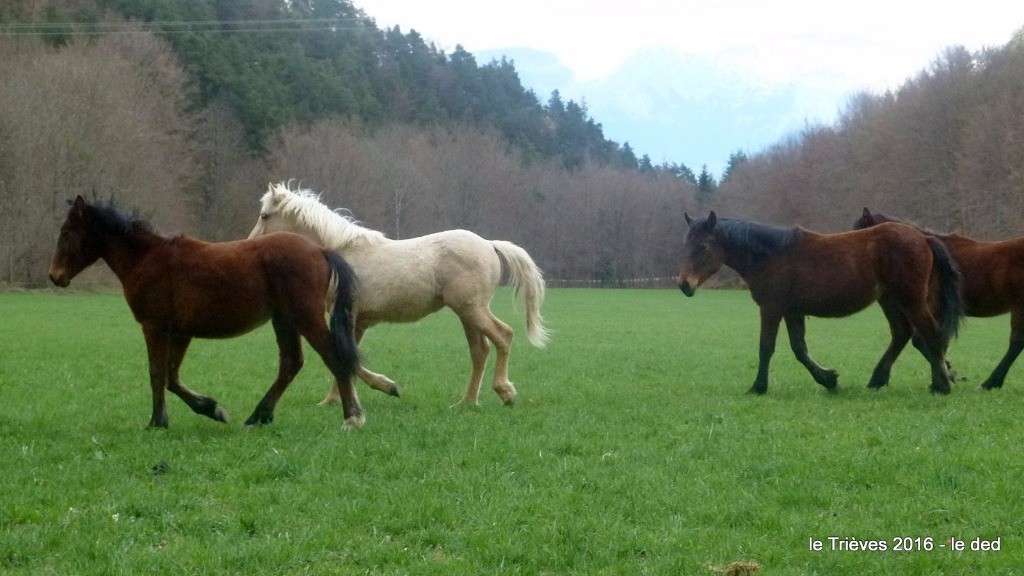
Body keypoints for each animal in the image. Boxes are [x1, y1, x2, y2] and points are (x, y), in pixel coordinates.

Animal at [50, 195, 368, 426]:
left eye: (66, 232)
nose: (55, 276)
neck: (147, 259)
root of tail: (320, 251)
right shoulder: (180, 333)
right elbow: (171, 377)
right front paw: (210, 408)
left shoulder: (154, 326)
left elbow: (157, 373)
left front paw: (157, 421)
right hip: (284, 320)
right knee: (291, 363)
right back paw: (259, 415)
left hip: (305, 318)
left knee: (333, 357)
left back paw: (352, 417)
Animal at [248, 181, 552, 405]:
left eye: (264, 215)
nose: (250, 244)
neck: (344, 253)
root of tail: (489, 244)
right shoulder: (358, 321)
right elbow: (347, 356)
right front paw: (334, 400)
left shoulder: (347, 316)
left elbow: (344, 356)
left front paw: (383, 388)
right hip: (467, 313)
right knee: (480, 351)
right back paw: (466, 403)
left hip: (472, 309)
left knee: (503, 336)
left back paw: (505, 392)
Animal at [675, 211, 962, 393]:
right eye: (685, 243)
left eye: (703, 247)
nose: (684, 284)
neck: (772, 254)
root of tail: (923, 238)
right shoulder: (792, 312)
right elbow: (799, 349)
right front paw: (828, 379)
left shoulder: (771, 309)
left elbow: (766, 348)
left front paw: (758, 387)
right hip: (890, 300)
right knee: (903, 334)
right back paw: (879, 380)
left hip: (910, 300)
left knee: (931, 334)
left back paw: (941, 384)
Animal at [851, 207, 1024, 389]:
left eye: (860, 232)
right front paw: (949, 373)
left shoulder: (933, 306)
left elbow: (923, 340)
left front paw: (946, 375)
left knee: (1016, 342)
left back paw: (990, 382)